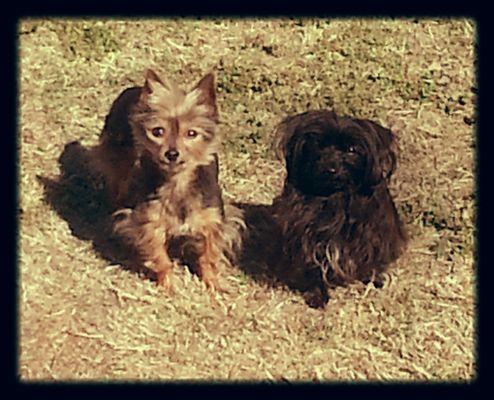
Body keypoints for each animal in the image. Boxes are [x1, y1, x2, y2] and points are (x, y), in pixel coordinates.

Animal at [92, 69, 243, 290]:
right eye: (157, 131)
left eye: (191, 133)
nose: (172, 154)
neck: (177, 182)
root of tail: (135, 89)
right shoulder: (150, 223)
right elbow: (161, 258)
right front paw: (168, 285)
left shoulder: (213, 221)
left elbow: (208, 255)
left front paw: (212, 284)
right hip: (118, 158)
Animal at [270, 110, 406, 310]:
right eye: (318, 145)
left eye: (352, 149)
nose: (331, 169)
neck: (334, 196)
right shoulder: (306, 237)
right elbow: (312, 267)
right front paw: (316, 294)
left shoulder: (372, 232)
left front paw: (373, 277)